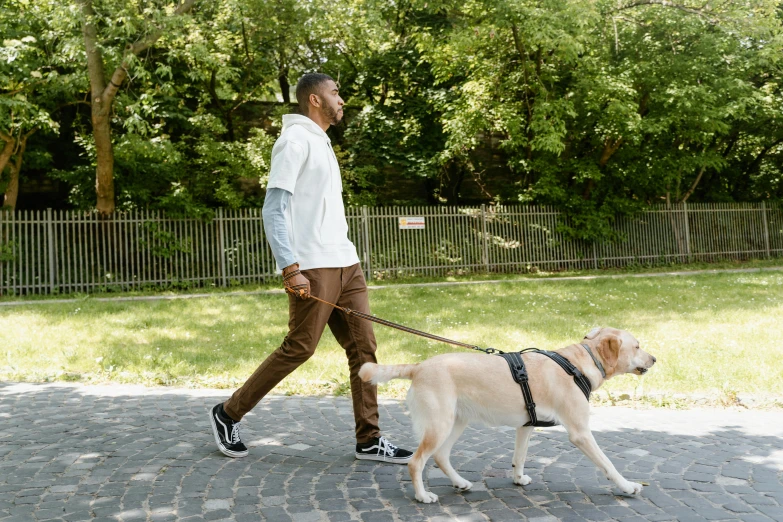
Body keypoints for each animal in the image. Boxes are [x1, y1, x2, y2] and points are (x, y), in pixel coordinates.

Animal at [360, 324, 656, 500]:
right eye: (637, 346)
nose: (655, 359)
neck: (578, 364)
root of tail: (419, 366)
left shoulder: (526, 426)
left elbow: (519, 457)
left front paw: (517, 478)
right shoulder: (580, 433)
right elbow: (608, 464)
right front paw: (627, 486)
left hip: (456, 423)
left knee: (441, 457)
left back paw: (460, 483)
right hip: (439, 425)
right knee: (417, 462)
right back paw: (422, 496)